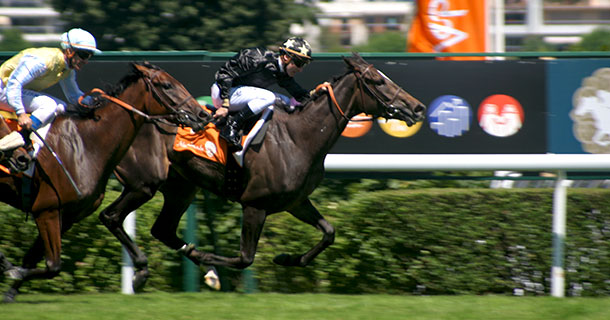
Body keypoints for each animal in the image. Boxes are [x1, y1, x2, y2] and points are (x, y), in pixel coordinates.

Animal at [0, 61, 209, 302]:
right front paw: (11, 270)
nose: (203, 114)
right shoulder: (47, 209)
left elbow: (32, 258)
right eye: (166, 85)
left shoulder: (68, 215)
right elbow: (52, 266)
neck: (83, 145)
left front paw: (10, 290)